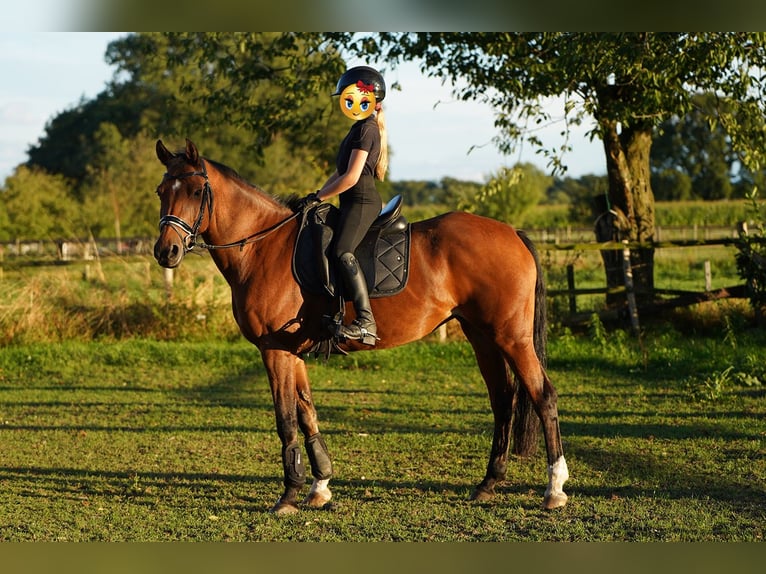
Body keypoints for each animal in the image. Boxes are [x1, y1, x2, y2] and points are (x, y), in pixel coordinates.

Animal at [152, 141, 568, 516]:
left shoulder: (274, 350)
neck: (263, 247)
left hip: (511, 336)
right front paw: (319, 486)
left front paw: (288, 495)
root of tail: (513, 232)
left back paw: (554, 489)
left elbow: (286, 419)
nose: (165, 252)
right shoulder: (292, 351)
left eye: (195, 191)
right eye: (161, 191)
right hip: (481, 335)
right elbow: (307, 411)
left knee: (542, 395)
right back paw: (488, 483)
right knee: (503, 398)